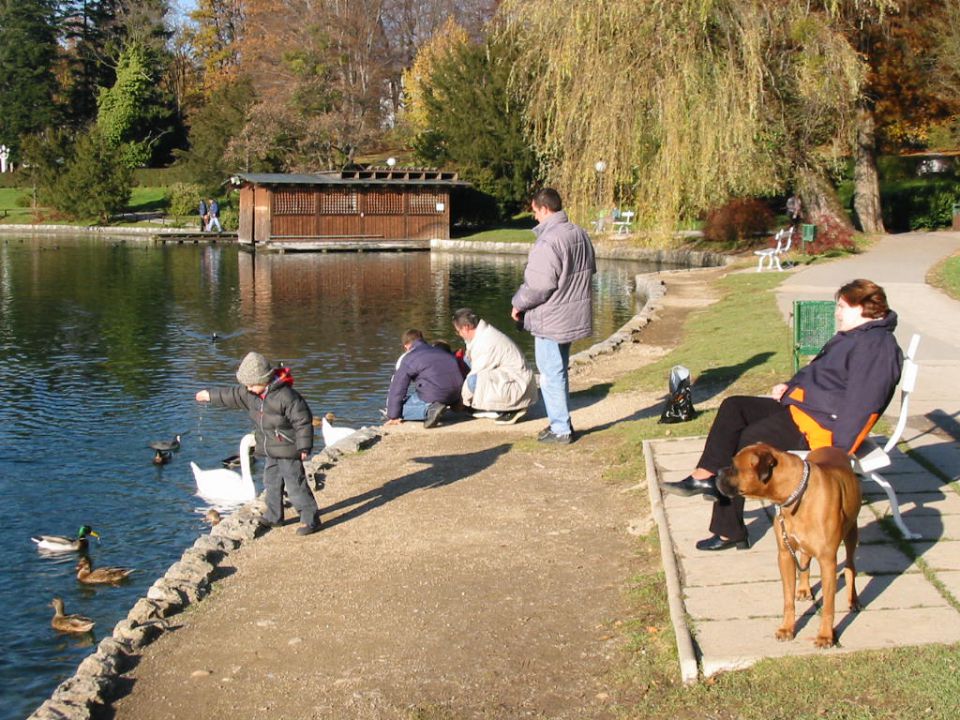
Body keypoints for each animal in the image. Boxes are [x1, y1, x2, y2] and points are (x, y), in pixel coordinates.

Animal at [712, 444, 864, 648]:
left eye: (735, 467)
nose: (718, 473)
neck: (797, 493)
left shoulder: (827, 562)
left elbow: (828, 606)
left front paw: (825, 636)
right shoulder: (785, 555)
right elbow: (787, 599)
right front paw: (787, 628)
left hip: (851, 534)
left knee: (849, 567)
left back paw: (853, 599)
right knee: (805, 559)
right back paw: (804, 589)